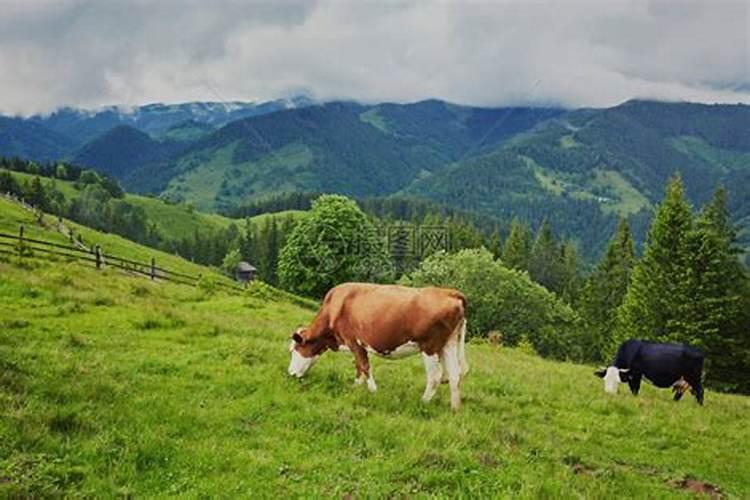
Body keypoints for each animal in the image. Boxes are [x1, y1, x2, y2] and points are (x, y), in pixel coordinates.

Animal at [290, 284, 470, 408]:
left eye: (294, 350)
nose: (290, 373)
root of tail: (449, 292)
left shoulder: (353, 341)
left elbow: (364, 365)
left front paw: (372, 390)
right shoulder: (357, 345)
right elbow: (359, 366)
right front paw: (356, 386)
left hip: (430, 346)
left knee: (435, 376)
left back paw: (423, 401)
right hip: (448, 344)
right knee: (454, 375)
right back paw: (454, 408)